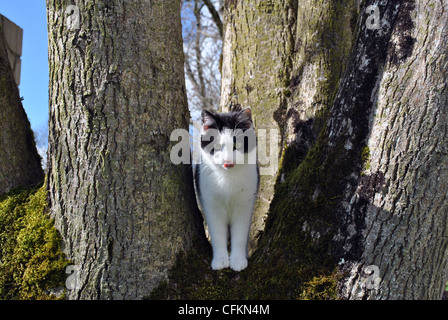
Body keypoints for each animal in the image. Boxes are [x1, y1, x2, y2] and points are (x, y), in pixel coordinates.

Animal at [193, 108, 260, 272]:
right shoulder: (211, 206)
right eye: (217, 147)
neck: (228, 179)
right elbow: (217, 233)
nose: (227, 161)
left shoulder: (244, 206)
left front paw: (238, 260)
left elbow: (240, 234)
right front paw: (220, 261)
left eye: (237, 144)